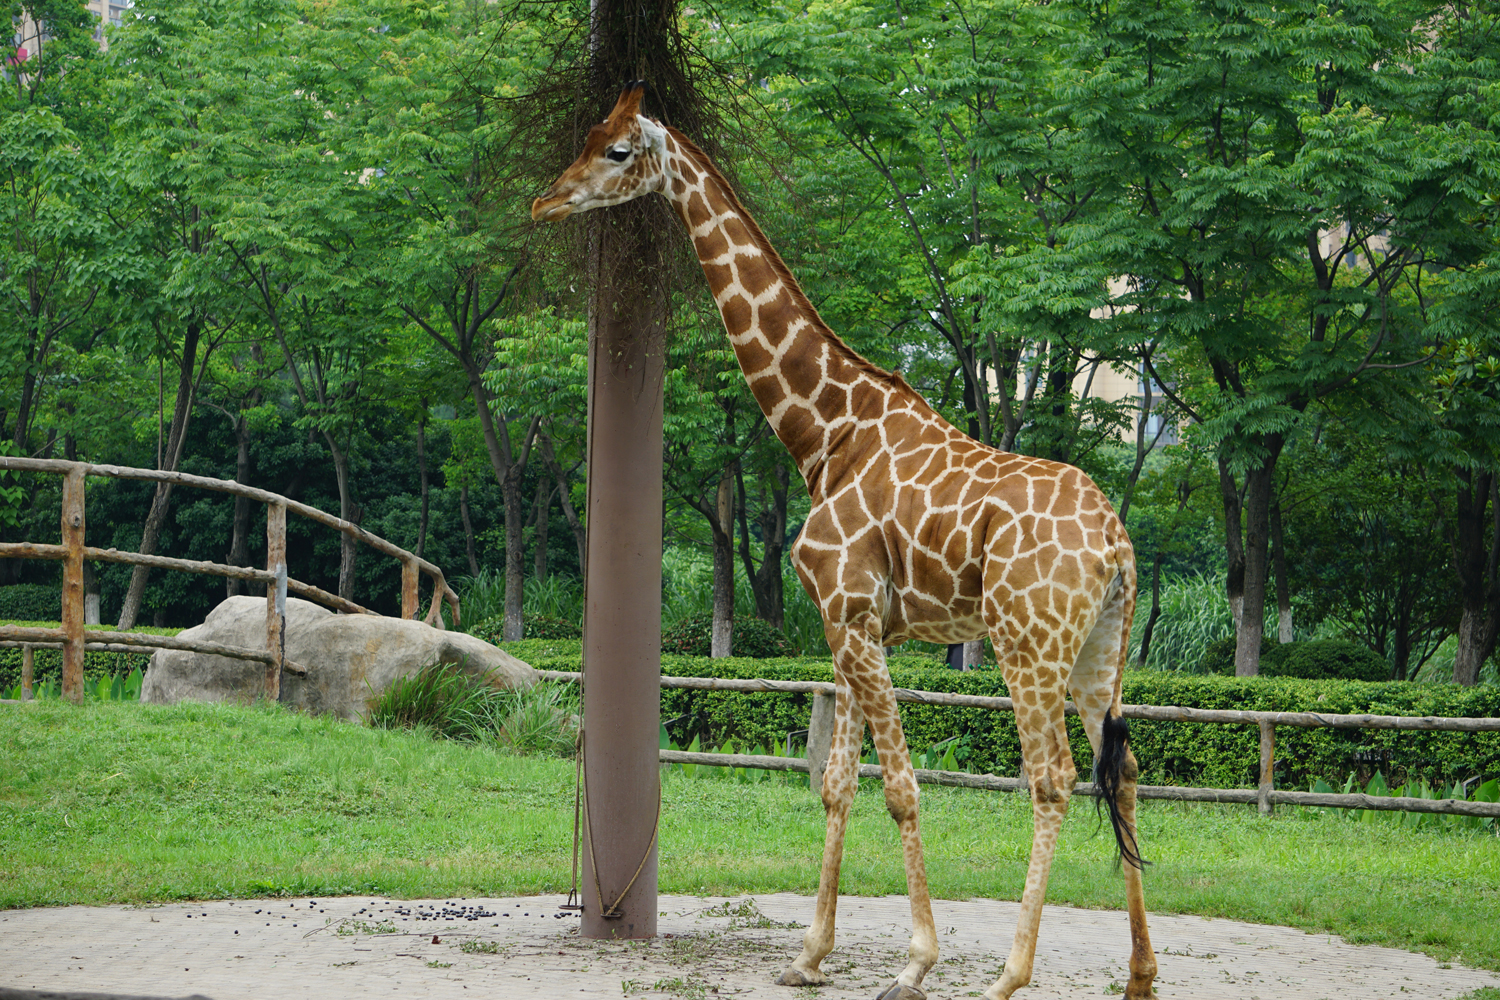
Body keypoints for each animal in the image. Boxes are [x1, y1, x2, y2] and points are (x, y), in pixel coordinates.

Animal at [532, 83, 1158, 1000]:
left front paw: (916, 961)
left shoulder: (851, 614)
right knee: (1128, 770)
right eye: (586, 134)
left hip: (1026, 642)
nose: (546, 200)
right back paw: (1142, 973)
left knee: (1053, 780)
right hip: (1098, 652)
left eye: (616, 151)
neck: (825, 431)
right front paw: (808, 955)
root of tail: (1117, 544)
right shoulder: (851, 623)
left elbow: (898, 787)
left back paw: (1008, 974)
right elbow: (836, 785)